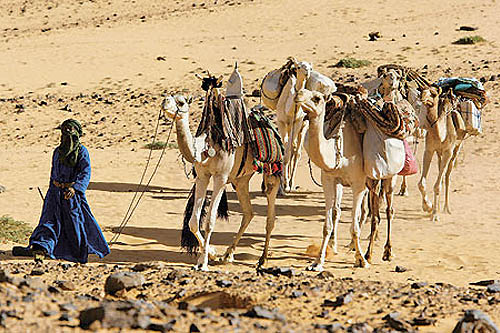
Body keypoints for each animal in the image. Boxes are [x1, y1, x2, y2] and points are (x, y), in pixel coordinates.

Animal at [164, 65, 282, 270]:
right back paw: (228, 254)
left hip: (272, 171)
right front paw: (210, 253)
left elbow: (209, 221)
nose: (164, 102)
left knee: (270, 213)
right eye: (168, 96)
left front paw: (203, 262)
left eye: (180, 101)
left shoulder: (220, 177)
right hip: (240, 179)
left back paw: (262, 259)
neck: (206, 145)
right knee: (248, 212)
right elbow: (194, 221)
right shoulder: (203, 176)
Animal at [262, 58, 336, 191]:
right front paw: (283, 186)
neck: (291, 109)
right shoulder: (281, 122)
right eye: (299, 67)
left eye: (310, 68)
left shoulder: (298, 122)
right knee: (293, 147)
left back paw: (291, 182)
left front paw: (287, 185)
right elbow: (285, 151)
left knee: (297, 151)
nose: (307, 72)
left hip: (303, 126)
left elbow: (291, 151)